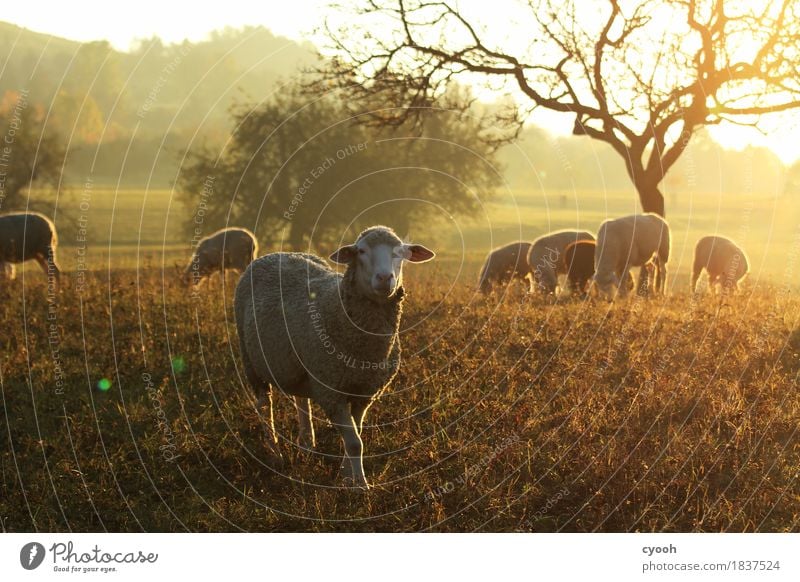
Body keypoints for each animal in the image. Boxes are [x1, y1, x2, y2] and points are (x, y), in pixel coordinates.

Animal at [234, 226, 434, 490]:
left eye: (401, 253)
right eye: (361, 251)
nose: (384, 278)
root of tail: (278, 253)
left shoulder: (364, 392)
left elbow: (356, 433)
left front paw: (346, 475)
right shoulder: (331, 392)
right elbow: (355, 443)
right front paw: (360, 486)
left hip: (303, 366)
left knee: (301, 400)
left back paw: (307, 443)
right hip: (251, 361)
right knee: (264, 405)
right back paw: (274, 453)